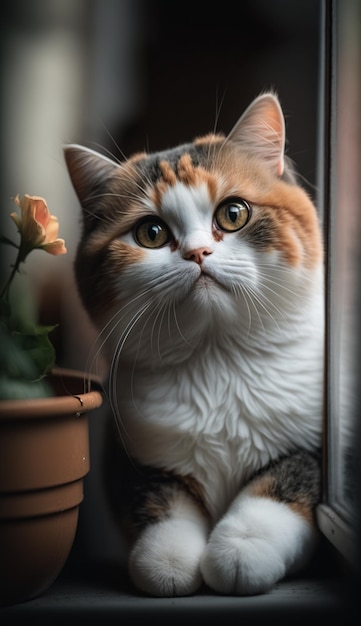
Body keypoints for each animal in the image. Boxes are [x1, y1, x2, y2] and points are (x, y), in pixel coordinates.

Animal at [64, 91, 324, 596]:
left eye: (234, 213)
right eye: (151, 233)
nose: (197, 253)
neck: (218, 357)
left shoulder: (313, 443)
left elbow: (280, 484)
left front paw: (243, 547)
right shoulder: (134, 455)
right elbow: (162, 502)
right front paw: (167, 560)